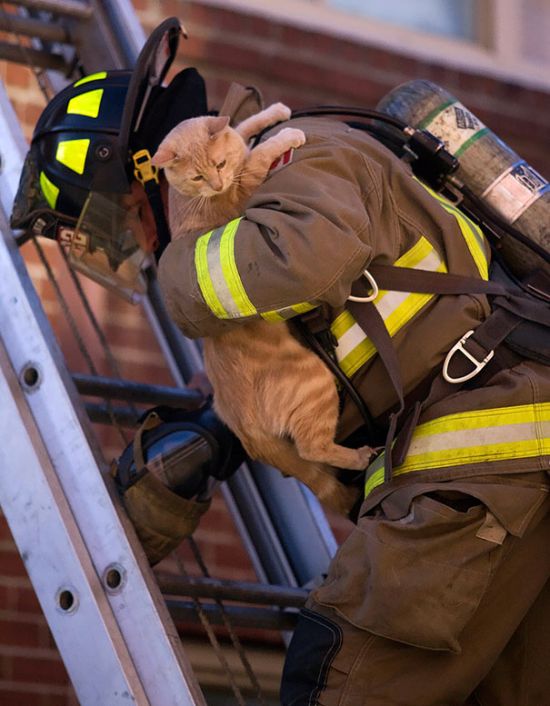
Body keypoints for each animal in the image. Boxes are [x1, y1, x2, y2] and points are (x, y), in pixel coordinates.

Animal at [153, 103, 374, 512]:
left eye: (219, 164)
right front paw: (286, 136)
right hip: (318, 382)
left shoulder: (236, 155)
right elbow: (260, 154)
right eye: (197, 176)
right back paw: (360, 456)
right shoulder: (247, 189)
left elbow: (243, 130)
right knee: (311, 448)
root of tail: (239, 421)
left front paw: (273, 114)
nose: (217, 185)